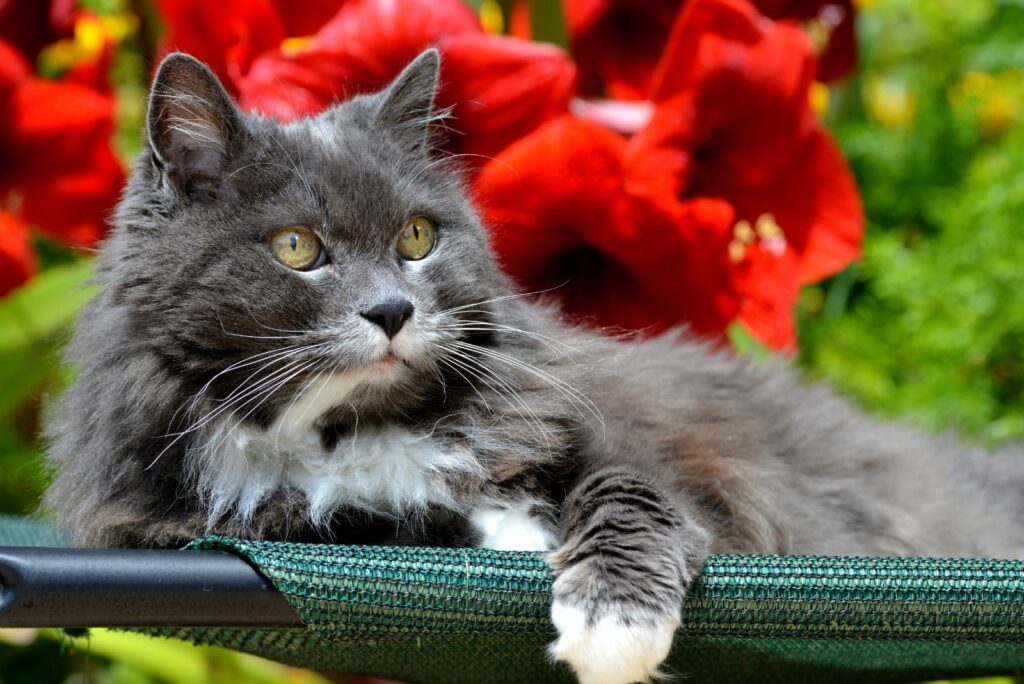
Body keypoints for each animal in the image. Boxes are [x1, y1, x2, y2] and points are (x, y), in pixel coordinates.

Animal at [44, 48, 1024, 684]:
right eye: (296, 248)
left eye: (417, 237)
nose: (394, 312)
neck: (359, 426)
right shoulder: (185, 520)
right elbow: (379, 513)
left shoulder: (645, 458)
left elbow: (627, 495)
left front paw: (610, 621)